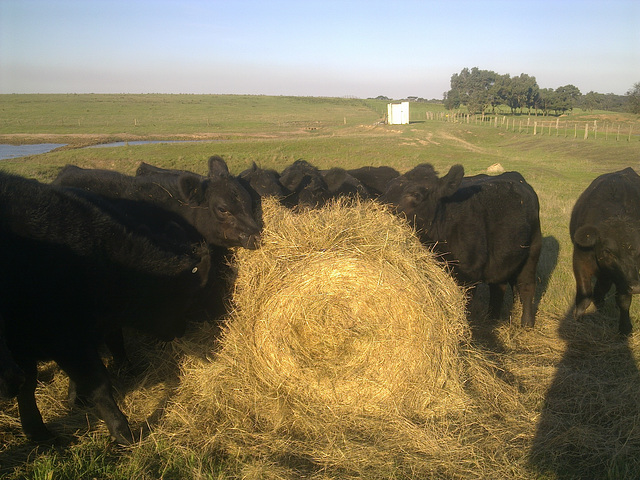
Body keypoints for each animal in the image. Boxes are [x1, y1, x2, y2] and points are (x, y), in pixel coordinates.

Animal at [0, 172, 210, 442]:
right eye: (185, 299)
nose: (181, 330)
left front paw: (64, 409)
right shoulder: (56, 341)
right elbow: (96, 384)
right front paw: (122, 431)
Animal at [382, 164, 544, 326]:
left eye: (416, 195)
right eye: (387, 190)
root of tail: (516, 177)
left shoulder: (468, 278)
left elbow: (465, 307)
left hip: (533, 250)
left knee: (527, 286)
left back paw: (526, 324)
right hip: (501, 258)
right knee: (499, 287)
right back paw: (491, 318)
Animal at [568, 168, 640, 334]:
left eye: (639, 251)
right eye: (608, 251)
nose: (636, 287)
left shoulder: (624, 276)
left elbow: (623, 300)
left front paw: (625, 327)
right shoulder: (580, 260)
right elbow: (585, 294)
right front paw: (578, 318)